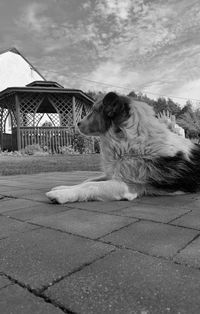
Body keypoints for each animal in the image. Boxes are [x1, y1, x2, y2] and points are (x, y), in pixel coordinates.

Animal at [46, 91, 200, 204]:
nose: (77, 123)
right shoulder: (114, 172)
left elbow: (92, 185)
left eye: (94, 111)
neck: (130, 141)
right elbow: (87, 181)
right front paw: (63, 187)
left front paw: (61, 194)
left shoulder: (128, 185)